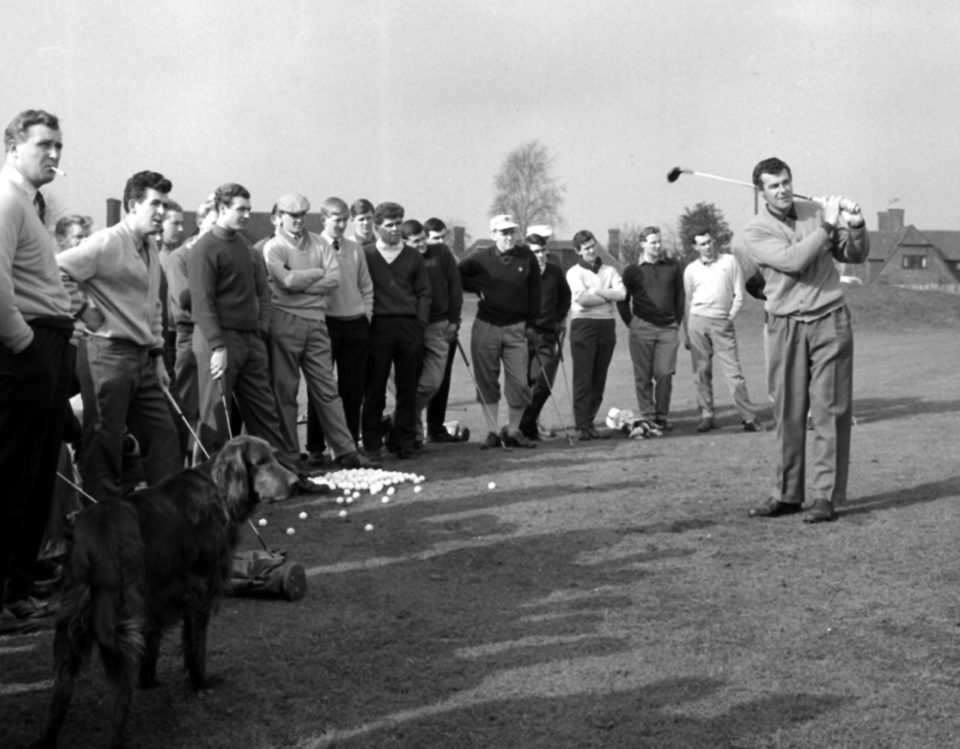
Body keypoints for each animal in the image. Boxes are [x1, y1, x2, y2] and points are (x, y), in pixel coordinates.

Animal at [31, 436, 296, 744]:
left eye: (275, 457)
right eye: (261, 462)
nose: (296, 482)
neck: (217, 489)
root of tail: (94, 536)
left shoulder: (157, 597)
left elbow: (154, 643)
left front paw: (149, 681)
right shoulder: (199, 590)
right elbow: (196, 646)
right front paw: (202, 682)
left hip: (72, 623)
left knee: (61, 690)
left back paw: (47, 738)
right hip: (121, 623)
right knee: (117, 698)